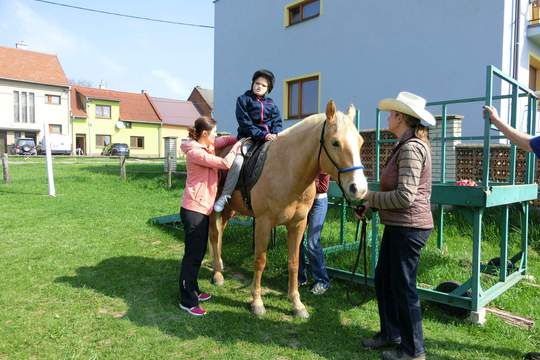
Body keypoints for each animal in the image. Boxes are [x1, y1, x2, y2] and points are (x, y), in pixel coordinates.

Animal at [209, 100, 370, 318]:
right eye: (335, 142)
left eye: (360, 142)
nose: (359, 188)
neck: (287, 170)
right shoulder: (263, 223)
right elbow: (260, 260)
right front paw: (257, 302)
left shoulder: (298, 224)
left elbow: (294, 263)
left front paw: (297, 304)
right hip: (216, 208)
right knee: (215, 234)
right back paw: (217, 275)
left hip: (230, 209)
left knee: (220, 233)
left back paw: (219, 266)